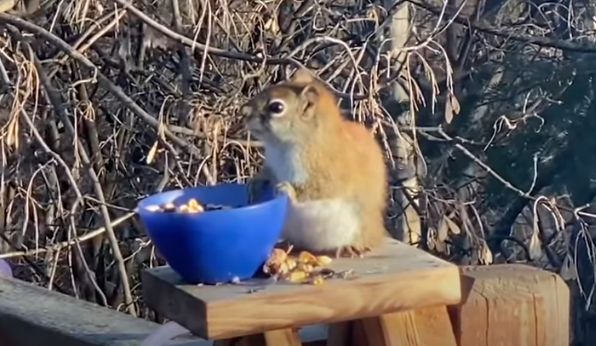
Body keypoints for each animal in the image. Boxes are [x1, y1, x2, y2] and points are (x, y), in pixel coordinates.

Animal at [240, 69, 388, 256]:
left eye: (277, 107)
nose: (244, 112)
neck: (283, 146)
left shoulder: (328, 172)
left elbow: (316, 189)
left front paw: (287, 188)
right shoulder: (272, 165)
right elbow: (267, 173)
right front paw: (255, 183)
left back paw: (349, 247)